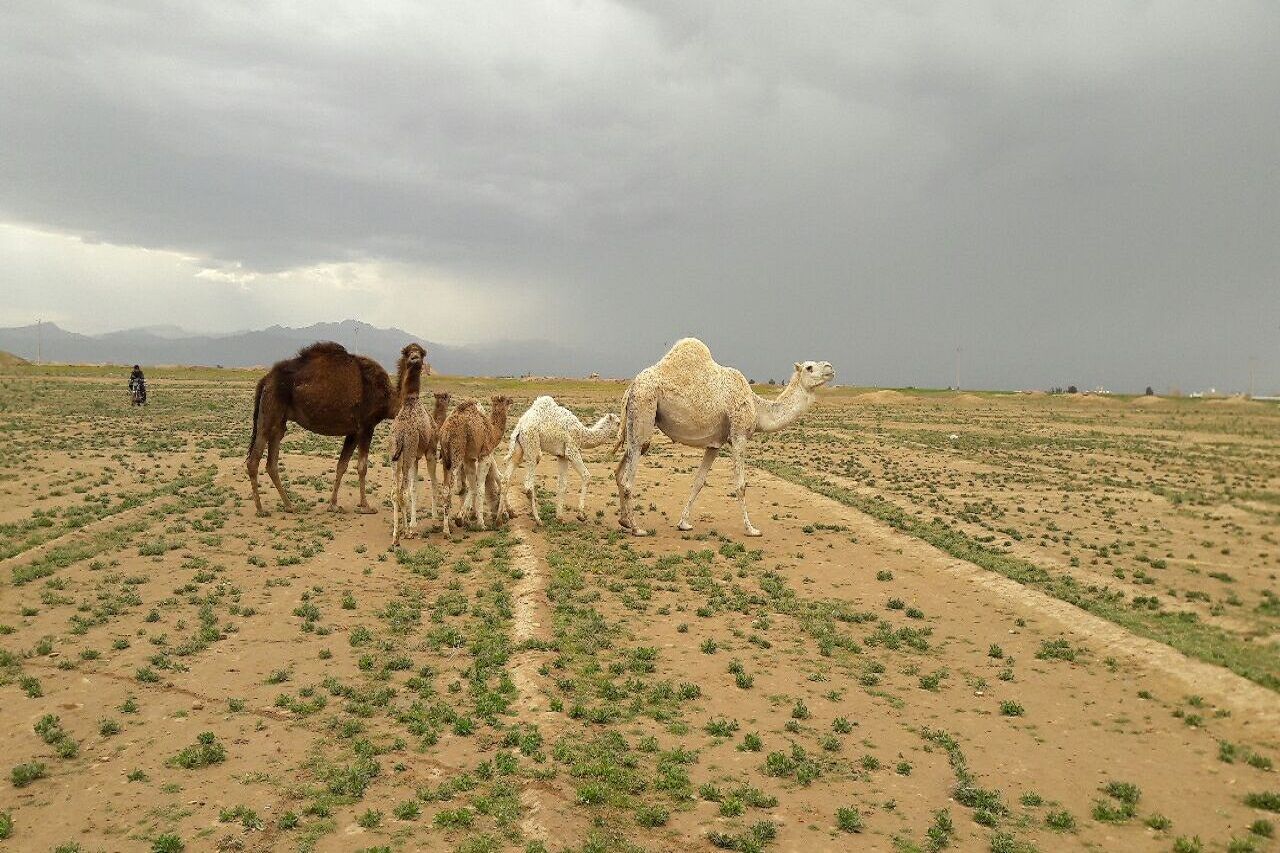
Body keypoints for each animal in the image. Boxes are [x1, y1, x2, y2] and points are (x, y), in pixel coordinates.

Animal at [247, 340, 427, 514]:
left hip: (279, 421)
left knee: (272, 462)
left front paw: (333, 505)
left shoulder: (353, 431)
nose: (415, 358)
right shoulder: (367, 426)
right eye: (407, 352)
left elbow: (342, 465)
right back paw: (261, 509)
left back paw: (290, 506)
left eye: (422, 352)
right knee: (254, 458)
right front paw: (366, 506)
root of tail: (265, 379)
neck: (388, 400)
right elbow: (362, 467)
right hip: (270, 410)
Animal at [437, 394, 512, 532]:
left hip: (446, 459)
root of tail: (445, 433)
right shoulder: (484, 455)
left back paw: (449, 525)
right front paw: (481, 523)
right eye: (505, 400)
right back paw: (446, 531)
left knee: (445, 489)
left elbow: (473, 486)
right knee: (449, 489)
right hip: (456, 454)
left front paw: (464, 518)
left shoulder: (469, 458)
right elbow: (480, 487)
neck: (493, 431)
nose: (511, 400)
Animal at [499, 394, 619, 525]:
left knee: (506, 478)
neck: (583, 434)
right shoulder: (571, 450)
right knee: (528, 485)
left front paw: (559, 517)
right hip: (532, 444)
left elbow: (562, 484)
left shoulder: (562, 456)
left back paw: (503, 516)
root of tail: (519, 427)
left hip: (519, 446)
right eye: (618, 422)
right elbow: (586, 476)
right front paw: (581, 515)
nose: (621, 431)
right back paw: (538, 520)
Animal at [614, 335, 834, 535]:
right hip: (644, 407)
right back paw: (637, 528)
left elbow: (699, 482)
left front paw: (684, 523)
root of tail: (631, 386)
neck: (757, 407)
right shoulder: (739, 436)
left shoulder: (714, 444)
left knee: (621, 468)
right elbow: (741, 484)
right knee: (629, 475)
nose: (830, 367)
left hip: (637, 422)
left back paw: (624, 521)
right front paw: (751, 529)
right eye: (809, 367)